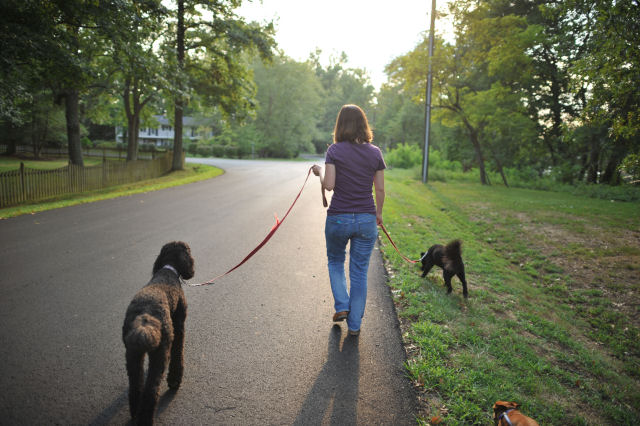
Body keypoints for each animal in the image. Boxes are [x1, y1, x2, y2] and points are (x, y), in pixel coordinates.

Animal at [121, 241, 194, 424]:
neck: (169, 269)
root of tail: (145, 318)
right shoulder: (179, 327)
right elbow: (178, 354)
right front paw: (175, 379)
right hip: (160, 351)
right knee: (151, 391)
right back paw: (146, 419)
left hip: (132, 354)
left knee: (136, 387)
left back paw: (135, 413)